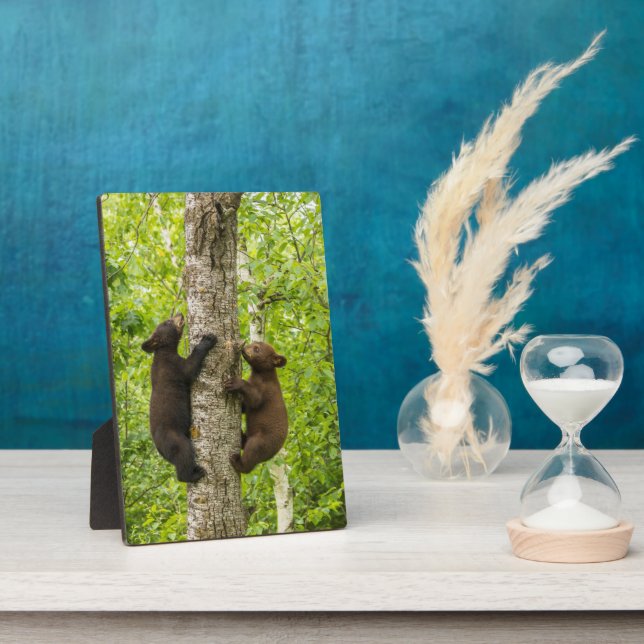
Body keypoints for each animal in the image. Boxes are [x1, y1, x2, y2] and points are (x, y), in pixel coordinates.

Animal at [141, 312, 217, 483]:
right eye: (167, 322)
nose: (179, 314)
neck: (164, 351)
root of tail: (161, 451)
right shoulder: (173, 367)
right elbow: (190, 368)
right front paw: (208, 339)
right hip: (175, 438)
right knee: (184, 454)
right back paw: (195, 474)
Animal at [224, 341, 288, 474]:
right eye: (253, 343)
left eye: (257, 349)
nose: (243, 348)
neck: (261, 374)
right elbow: (245, 406)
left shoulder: (266, 390)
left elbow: (255, 400)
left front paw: (235, 382)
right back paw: (242, 436)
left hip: (262, 440)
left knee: (252, 451)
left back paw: (237, 462)